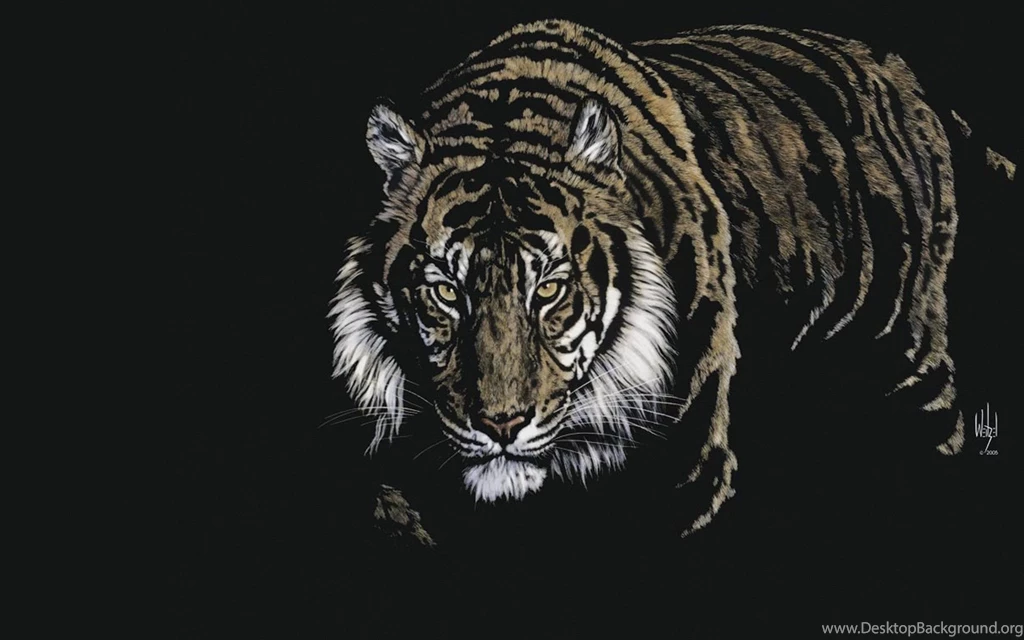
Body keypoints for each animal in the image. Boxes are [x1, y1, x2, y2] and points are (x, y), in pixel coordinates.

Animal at [328, 19, 1006, 539]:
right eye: (446, 291)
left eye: (548, 289)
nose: (501, 426)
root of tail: (902, 74)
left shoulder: (683, 465)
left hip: (907, 358)